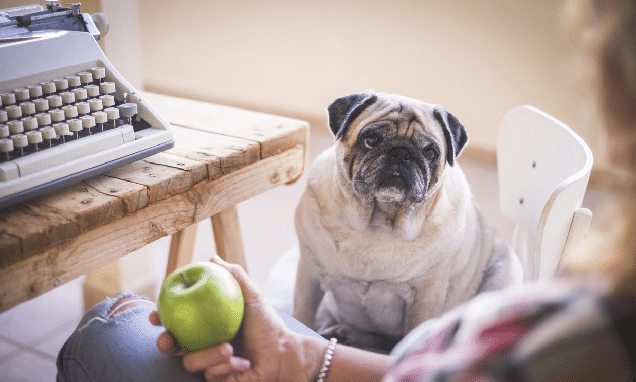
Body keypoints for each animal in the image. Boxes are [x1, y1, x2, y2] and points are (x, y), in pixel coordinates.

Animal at [294, 90, 520, 352]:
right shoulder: (309, 276)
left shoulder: (426, 297)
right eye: (371, 140)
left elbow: (413, 332)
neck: (378, 223)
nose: (400, 153)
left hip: (501, 277)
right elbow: (302, 316)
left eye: (430, 153)